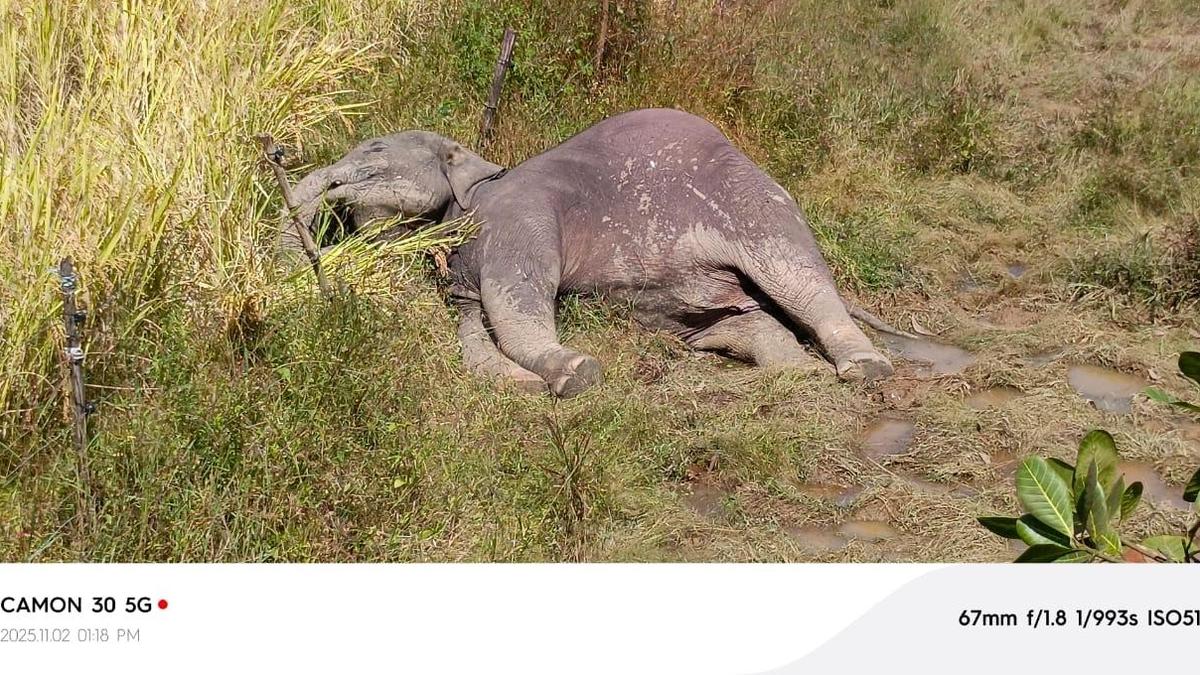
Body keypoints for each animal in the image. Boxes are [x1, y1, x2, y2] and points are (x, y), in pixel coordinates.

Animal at [282, 108, 903, 397]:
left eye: (373, 149)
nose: (277, 153)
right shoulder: (459, 276)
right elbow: (473, 327)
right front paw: (523, 383)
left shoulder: (521, 213)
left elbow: (517, 299)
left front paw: (576, 373)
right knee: (749, 326)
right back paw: (798, 372)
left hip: (758, 208)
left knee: (799, 282)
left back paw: (864, 369)